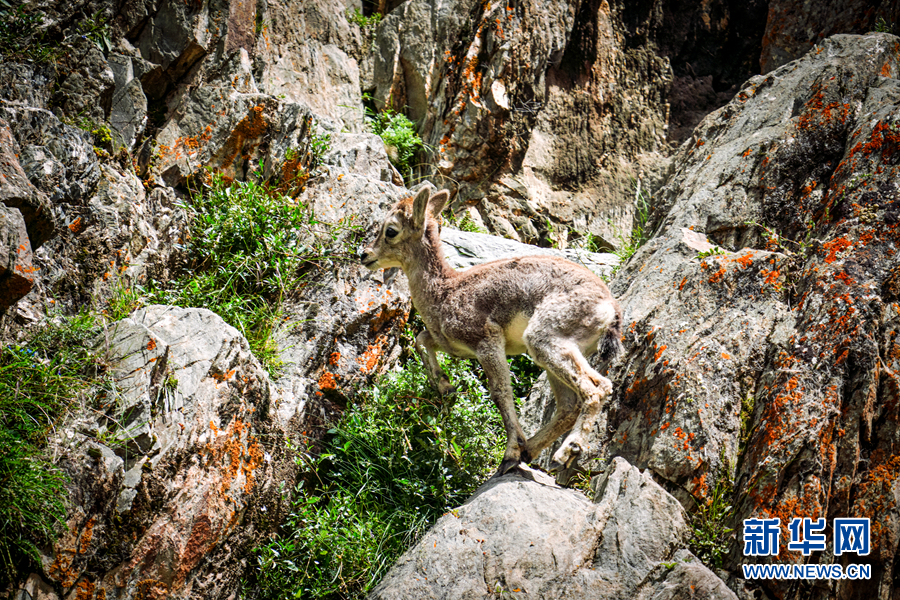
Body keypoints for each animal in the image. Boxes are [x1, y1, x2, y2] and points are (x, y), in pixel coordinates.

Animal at [360, 187, 623, 476]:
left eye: (390, 230)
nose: (364, 255)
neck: (444, 292)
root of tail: (610, 312)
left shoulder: (486, 339)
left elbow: (500, 392)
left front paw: (510, 452)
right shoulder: (454, 344)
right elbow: (421, 339)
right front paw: (445, 386)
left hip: (546, 338)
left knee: (597, 387)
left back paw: (562, 452)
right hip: (556, 351)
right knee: (568, 404)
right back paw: (532, 451)